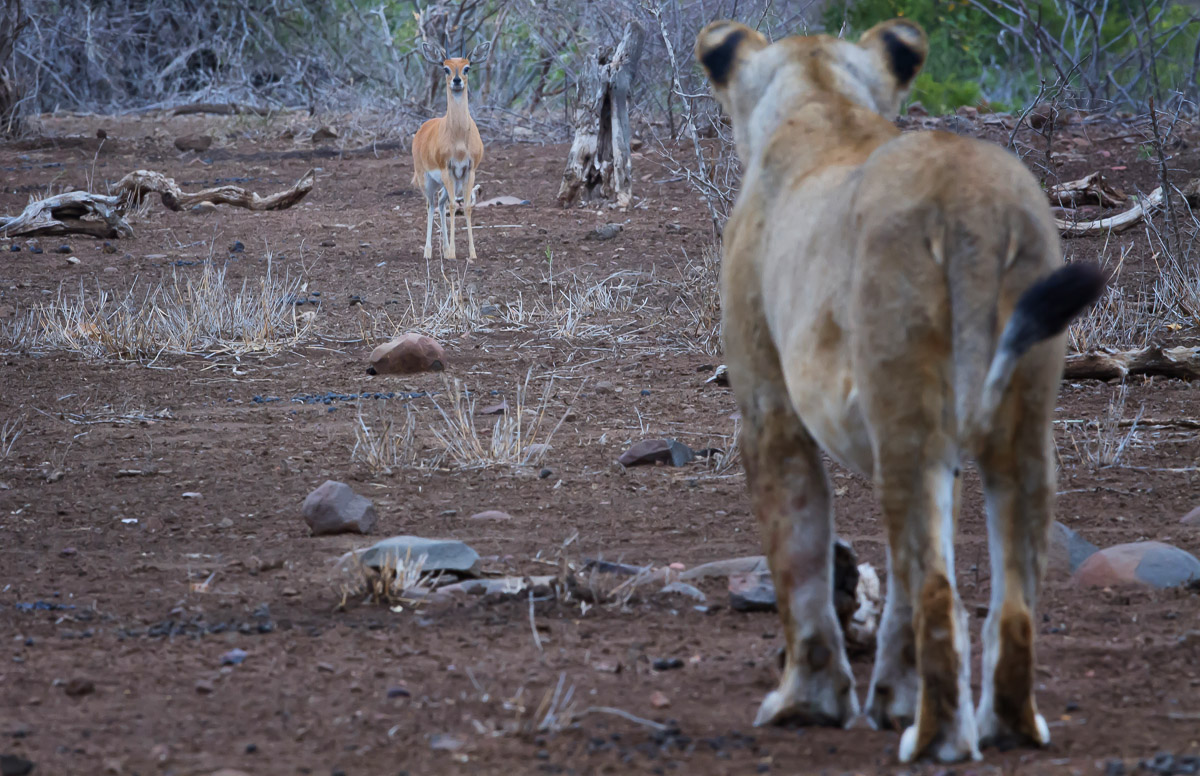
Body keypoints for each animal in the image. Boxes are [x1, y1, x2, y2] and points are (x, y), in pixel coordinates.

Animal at [694, 19, 1104, 764]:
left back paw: (936, 740)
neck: (822, 99)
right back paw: (1006, 728)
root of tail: (970, 203)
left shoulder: (769, 411)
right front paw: (890, 700)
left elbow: (799, 559)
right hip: (1018, 421)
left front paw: (808, 704)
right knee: (1011, 602)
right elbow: (896, 591)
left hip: (905, 412)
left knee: (940, 595)